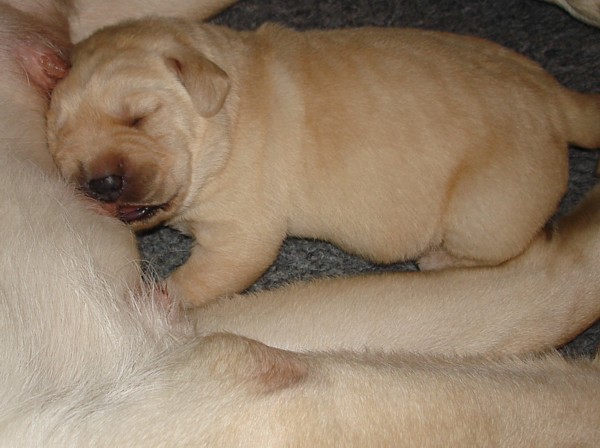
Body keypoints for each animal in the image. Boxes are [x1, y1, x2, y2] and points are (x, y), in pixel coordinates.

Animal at [47, 16, 600, 304]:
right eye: (60, 139)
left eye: (139, 117)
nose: (100, 183)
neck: (229, 112)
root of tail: (555, 99)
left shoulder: (240, 232)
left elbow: (196, 280)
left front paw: (152, 300)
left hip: (483, 210)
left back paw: (437, 259)